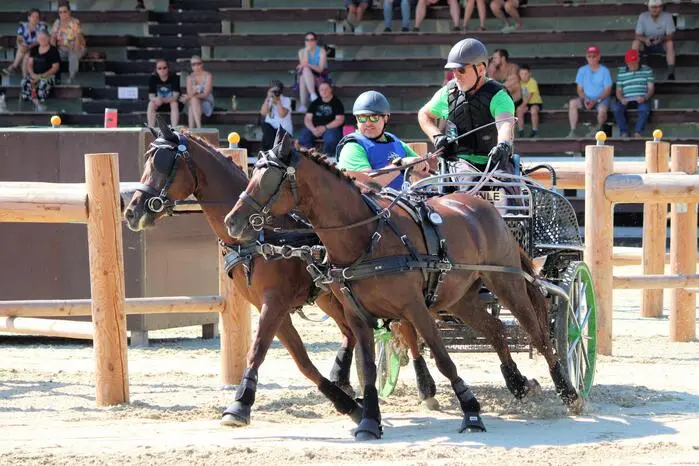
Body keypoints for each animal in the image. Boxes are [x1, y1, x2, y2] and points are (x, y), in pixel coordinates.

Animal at [122, 120, 438, 427]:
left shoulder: (275, 301)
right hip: (331, 296)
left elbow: (258, 349)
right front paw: (347, 404)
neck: (261, 235)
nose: (131, 212)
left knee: (407, 328)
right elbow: (301, 360)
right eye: (148, 160)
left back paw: (425, 387)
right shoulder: (272, 305)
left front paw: (240, 404)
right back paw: (348, 381)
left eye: (162, 163)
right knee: (353, 332)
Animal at [224, 131, 582, 440]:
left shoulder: (414, 307)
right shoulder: (357, 315)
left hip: (506, 282)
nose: (232, 221)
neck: (367, 238)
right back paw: (518, 383)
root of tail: (484, 205)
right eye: (253, 173)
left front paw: (471, 412)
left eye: (268, 180)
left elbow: (443, 358)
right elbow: (368, 368)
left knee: (538, 333)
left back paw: (568, 392)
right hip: (460, 298)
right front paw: (369, 420)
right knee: (495, 329)